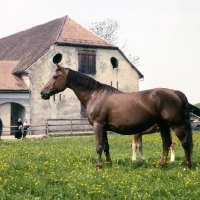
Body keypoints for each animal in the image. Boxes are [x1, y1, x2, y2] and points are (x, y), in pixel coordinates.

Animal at [40, 53, 192, 169]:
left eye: (55, 77)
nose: (43, 93)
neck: (95, 95)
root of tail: (175, 92)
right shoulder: (104, 128)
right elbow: (106, 146)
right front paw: (109, 163)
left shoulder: (98, 126)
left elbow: (99, 146)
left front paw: (99, 166)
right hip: (163, 125)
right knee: (166, 143)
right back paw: (161, 165)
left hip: (176, 124)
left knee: (184, 142)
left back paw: (187, 166)